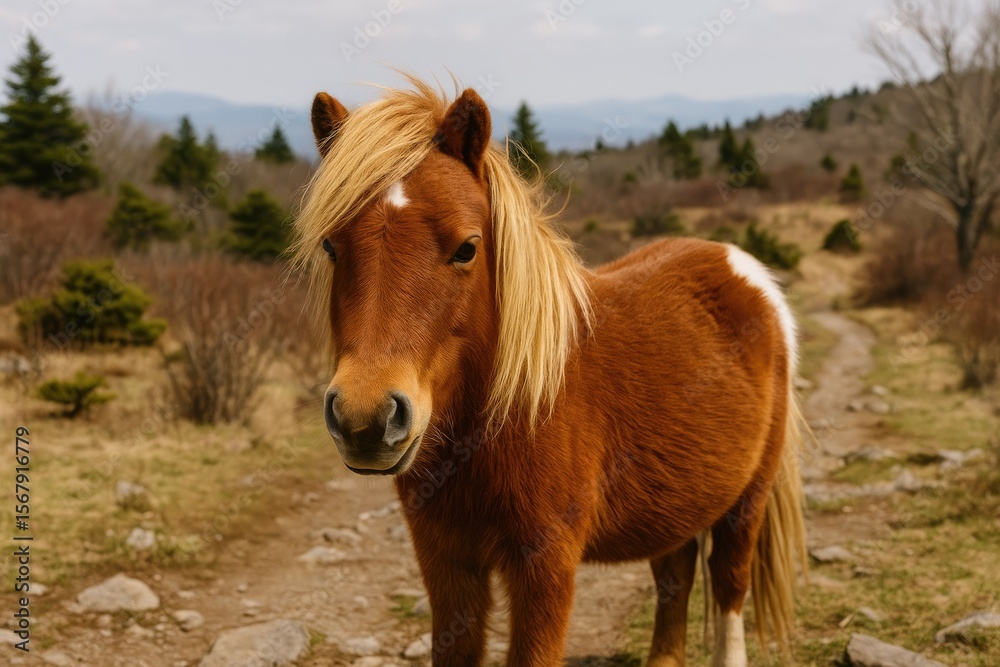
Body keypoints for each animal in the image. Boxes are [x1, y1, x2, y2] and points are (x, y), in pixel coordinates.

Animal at [292, 78, 807, 667]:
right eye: (331, 246)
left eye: (467, 248)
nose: (366, 418)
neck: (504, 418)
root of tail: (743, 270)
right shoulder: (445, 562)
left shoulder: (545, 566)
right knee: (673, 576)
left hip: (747, 502)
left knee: (728, 586)